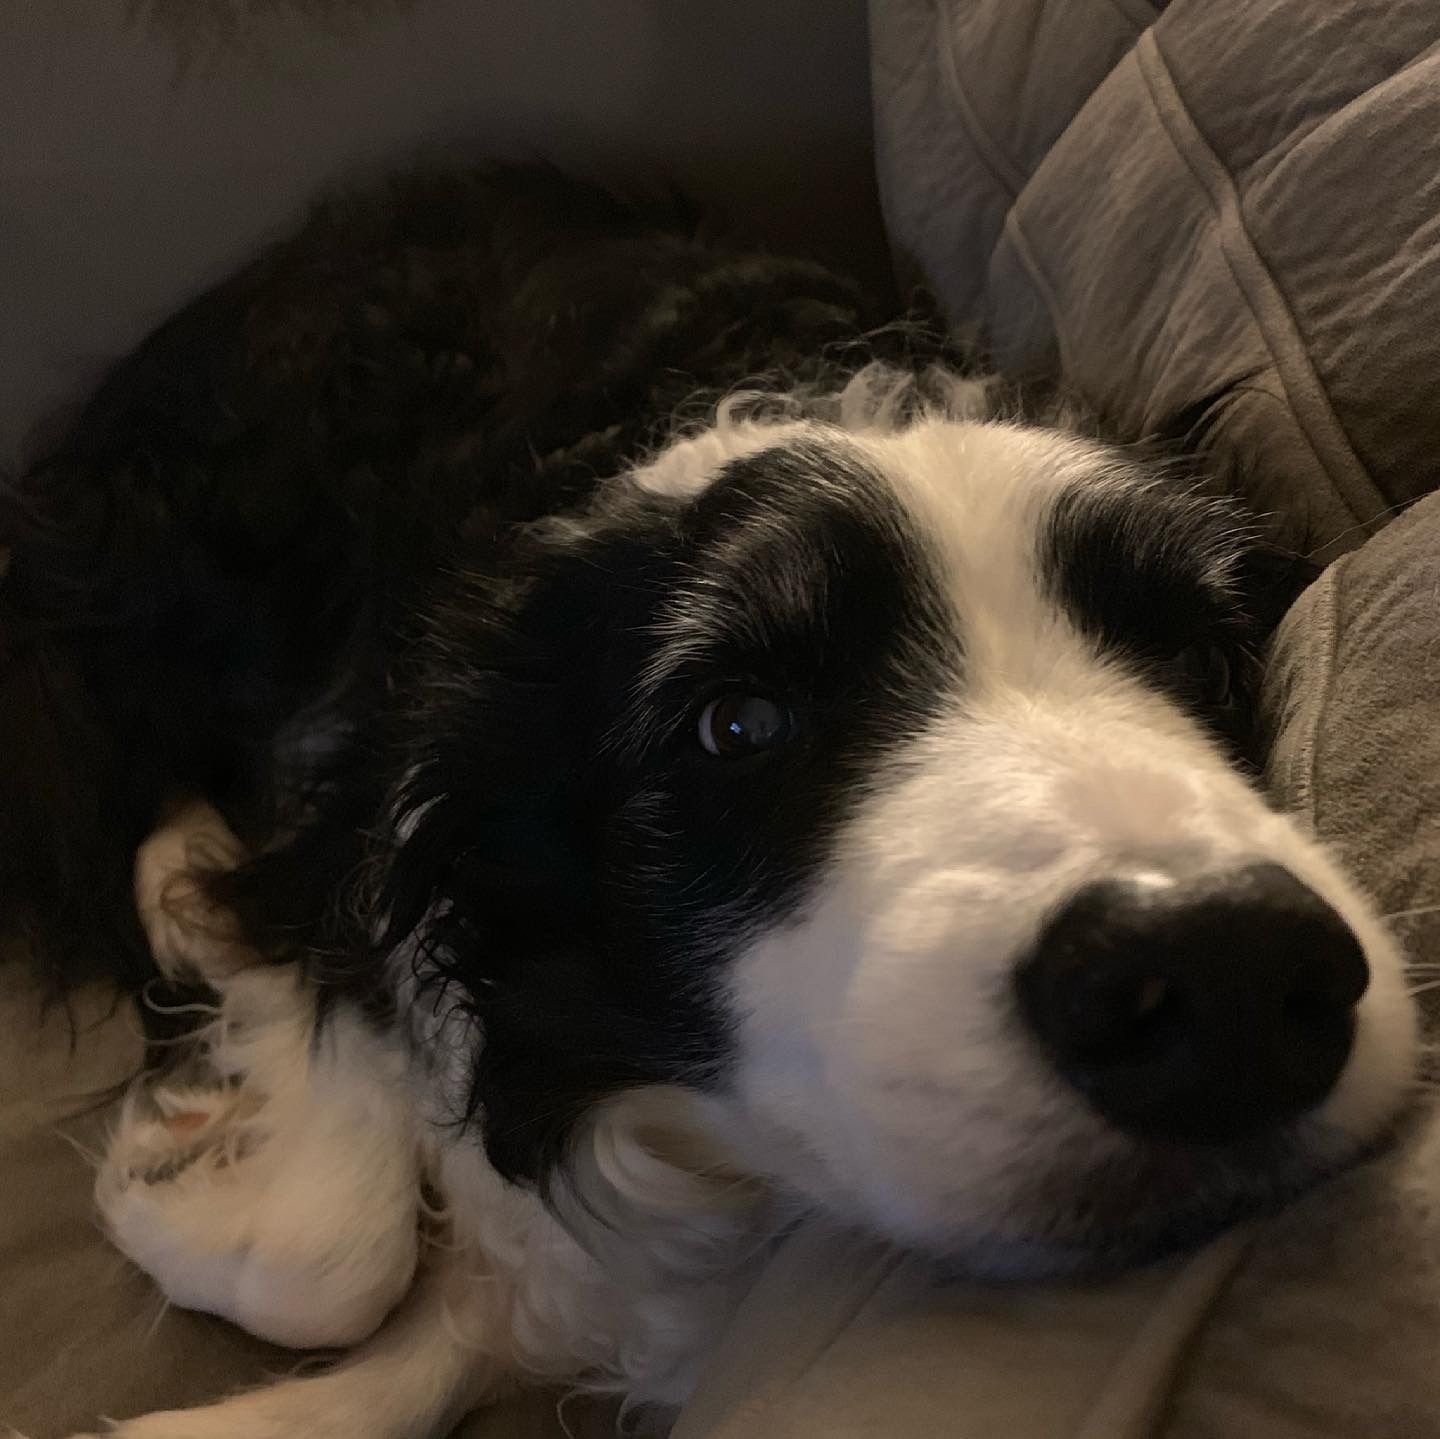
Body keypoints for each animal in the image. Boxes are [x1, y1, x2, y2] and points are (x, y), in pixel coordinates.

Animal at [0, 163, 1416, 1434]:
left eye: (1199, 653)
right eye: (735, 723)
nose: (1226, 967)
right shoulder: (356, 828)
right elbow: (332, 1255)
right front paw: (173, 1152)